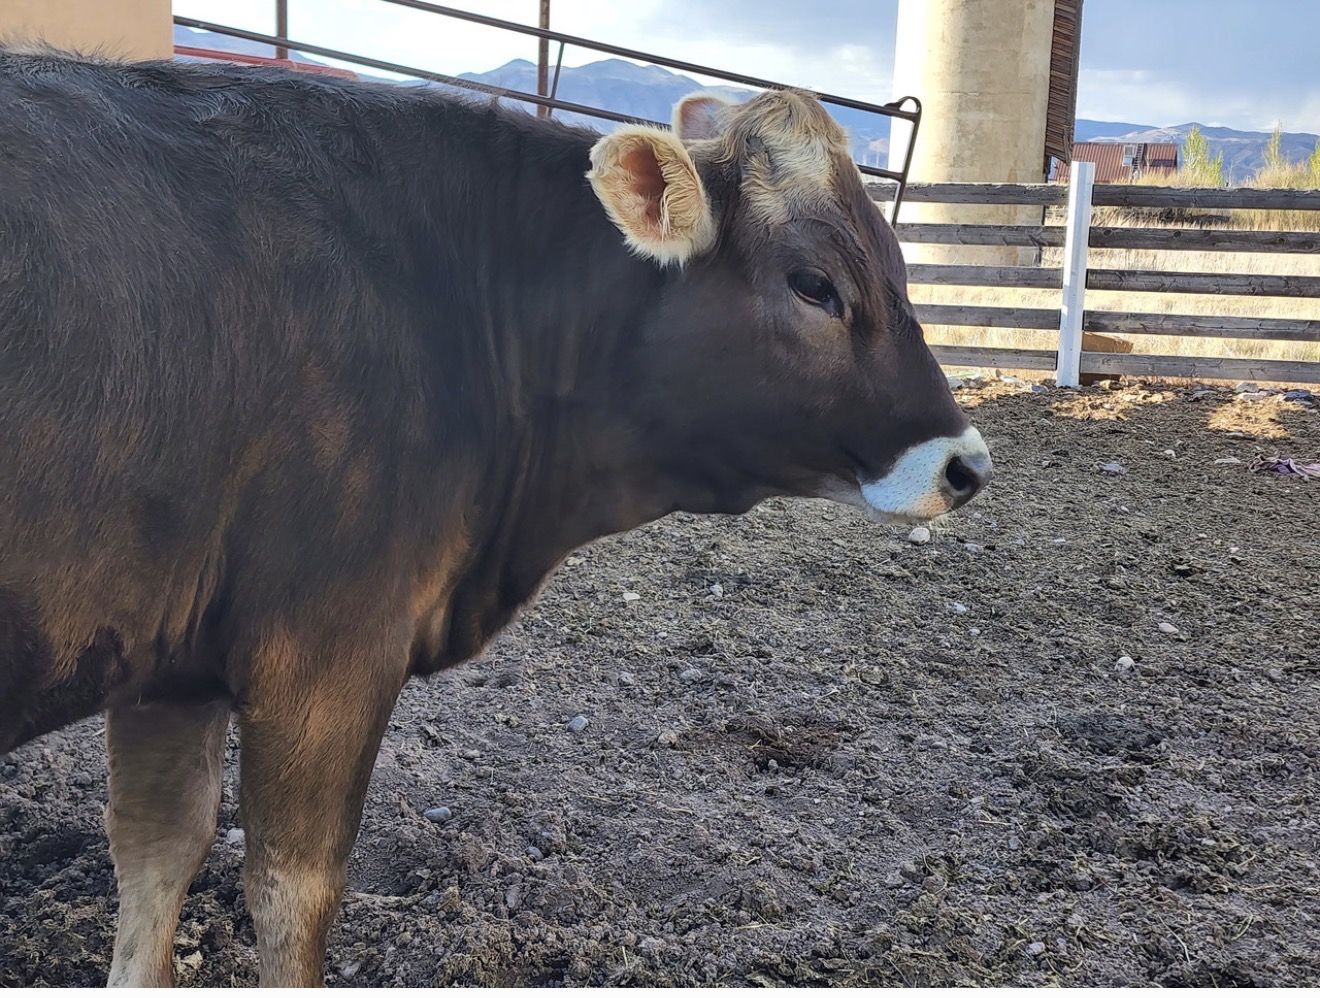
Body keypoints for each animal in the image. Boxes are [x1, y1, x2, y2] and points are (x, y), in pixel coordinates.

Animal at [0, 48, 991, 986]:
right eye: (814, 285)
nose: (967, 465)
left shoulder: (170, 657)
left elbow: (157, 857)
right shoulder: (327, 652)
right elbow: (292, 891)